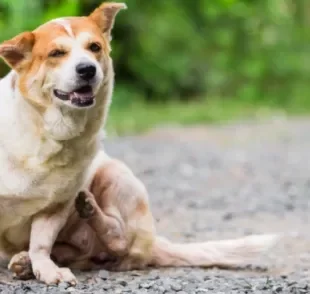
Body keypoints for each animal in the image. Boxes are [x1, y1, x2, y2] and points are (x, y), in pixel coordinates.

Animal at [0, 1, 127, 284]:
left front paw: (47, 270)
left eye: (94, 47)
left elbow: (40, 243)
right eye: (56, 53)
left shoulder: (56, 206)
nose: (87, 69)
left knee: (120, 239)